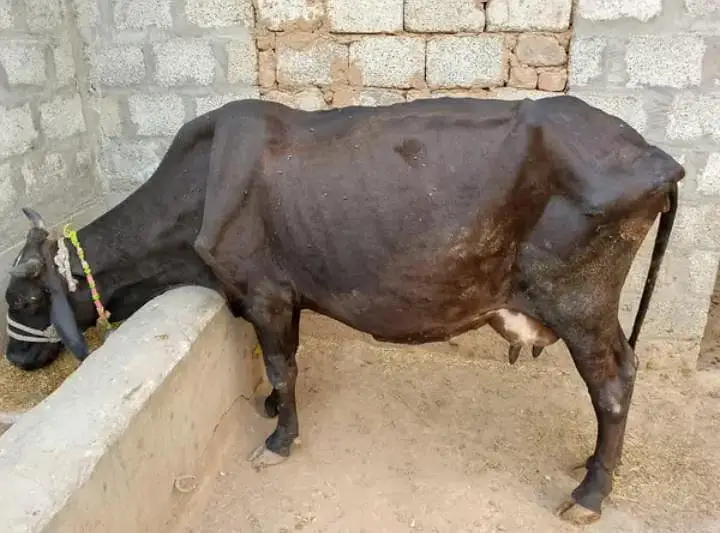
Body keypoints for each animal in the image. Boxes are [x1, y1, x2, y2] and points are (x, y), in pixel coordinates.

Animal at [4, 95, 683, 525]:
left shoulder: (266, 293)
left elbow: (281, 365)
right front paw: (272, 409)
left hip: (581, 303)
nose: (15, 355)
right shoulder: (285, 296)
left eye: (27, 299)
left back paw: (590, 493)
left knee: (614, 382)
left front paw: (279, 438)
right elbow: (287, 363)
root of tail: (656, 155)